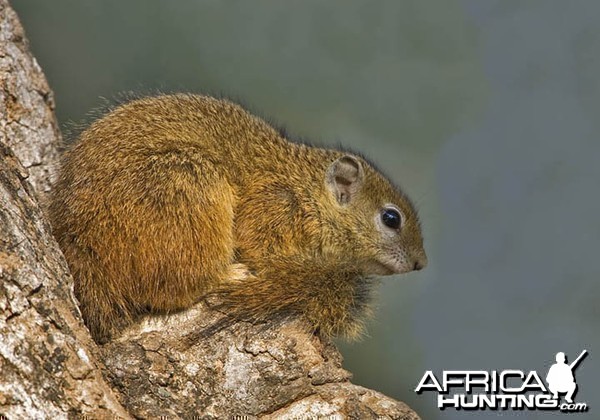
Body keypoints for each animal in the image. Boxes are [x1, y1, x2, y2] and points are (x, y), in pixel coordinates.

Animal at [49, 95, 428, 344]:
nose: (420, 263)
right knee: (174, 290)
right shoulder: (272, 209)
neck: (306, 191)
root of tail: (85, 253)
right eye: (391, 218)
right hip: (186, 185)